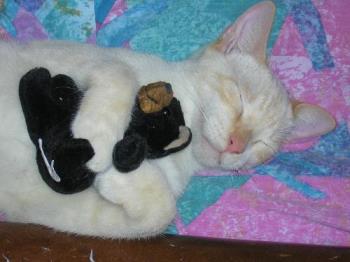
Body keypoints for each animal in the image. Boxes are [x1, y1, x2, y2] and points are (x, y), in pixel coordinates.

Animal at [0, 1, 334, 238]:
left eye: (262, 144)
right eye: (240, 99)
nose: (236, 145)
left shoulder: (38, 206)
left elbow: (157, 216)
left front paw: (121, 177)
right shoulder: (75, 61)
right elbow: (120, 69)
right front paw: (95, 136)